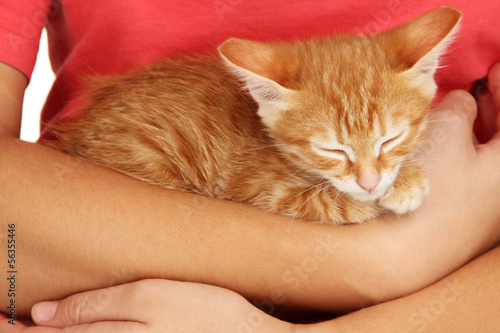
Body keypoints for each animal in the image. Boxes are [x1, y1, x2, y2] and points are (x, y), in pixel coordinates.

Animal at [43, 5, 460, 223]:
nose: (370, 182)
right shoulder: (262, 189)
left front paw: (402, 177)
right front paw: (394, 189)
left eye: (391, 138)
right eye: (331, 150)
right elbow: (340, 204)